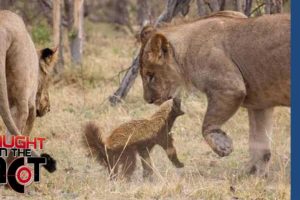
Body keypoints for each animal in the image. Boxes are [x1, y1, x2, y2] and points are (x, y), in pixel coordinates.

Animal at [139, 11, 290, 177]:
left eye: (150, 75)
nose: (148, 100)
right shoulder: (260, 105)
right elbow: (260, 145)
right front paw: (253, 175)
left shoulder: (229, 88)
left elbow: (206, 124)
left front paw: (223, 146)